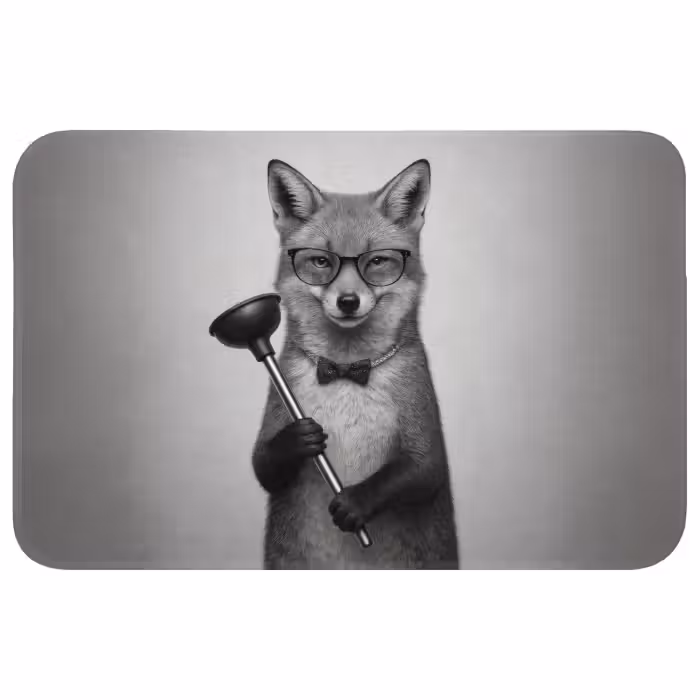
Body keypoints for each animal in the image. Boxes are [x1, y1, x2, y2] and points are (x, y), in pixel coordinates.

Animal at [251, 158, 459, 569]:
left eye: (376, 261)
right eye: (321, 261)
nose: (348, 301)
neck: (346, 373)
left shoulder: (426, 441)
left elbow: (418, 472)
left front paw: (354, 503)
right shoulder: (277, 410)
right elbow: (263, 465)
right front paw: (299, 440)